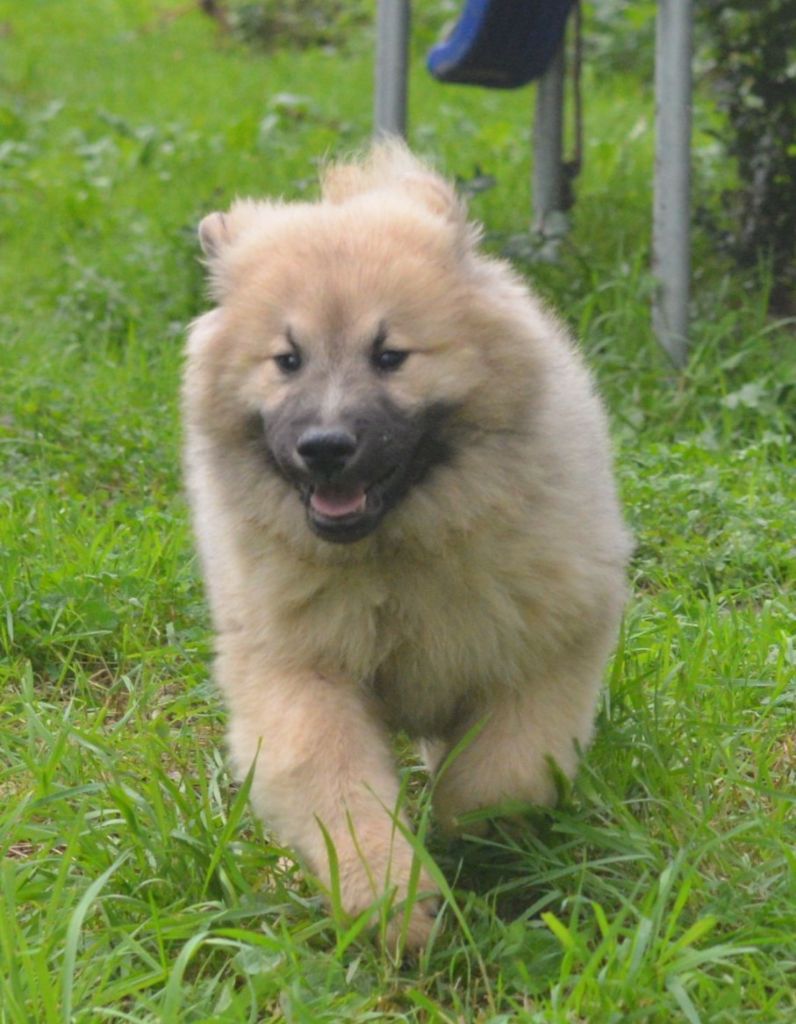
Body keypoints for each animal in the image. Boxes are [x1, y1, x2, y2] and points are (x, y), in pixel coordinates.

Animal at [181, 140, 635, 946]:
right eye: (287, 360)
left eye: (390, 355)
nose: (325, 447)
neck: (398, 550)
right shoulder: (298, 671)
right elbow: (336, 793)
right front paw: (390, 900)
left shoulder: (545, 644)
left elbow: (499, 773)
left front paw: (468, 834)